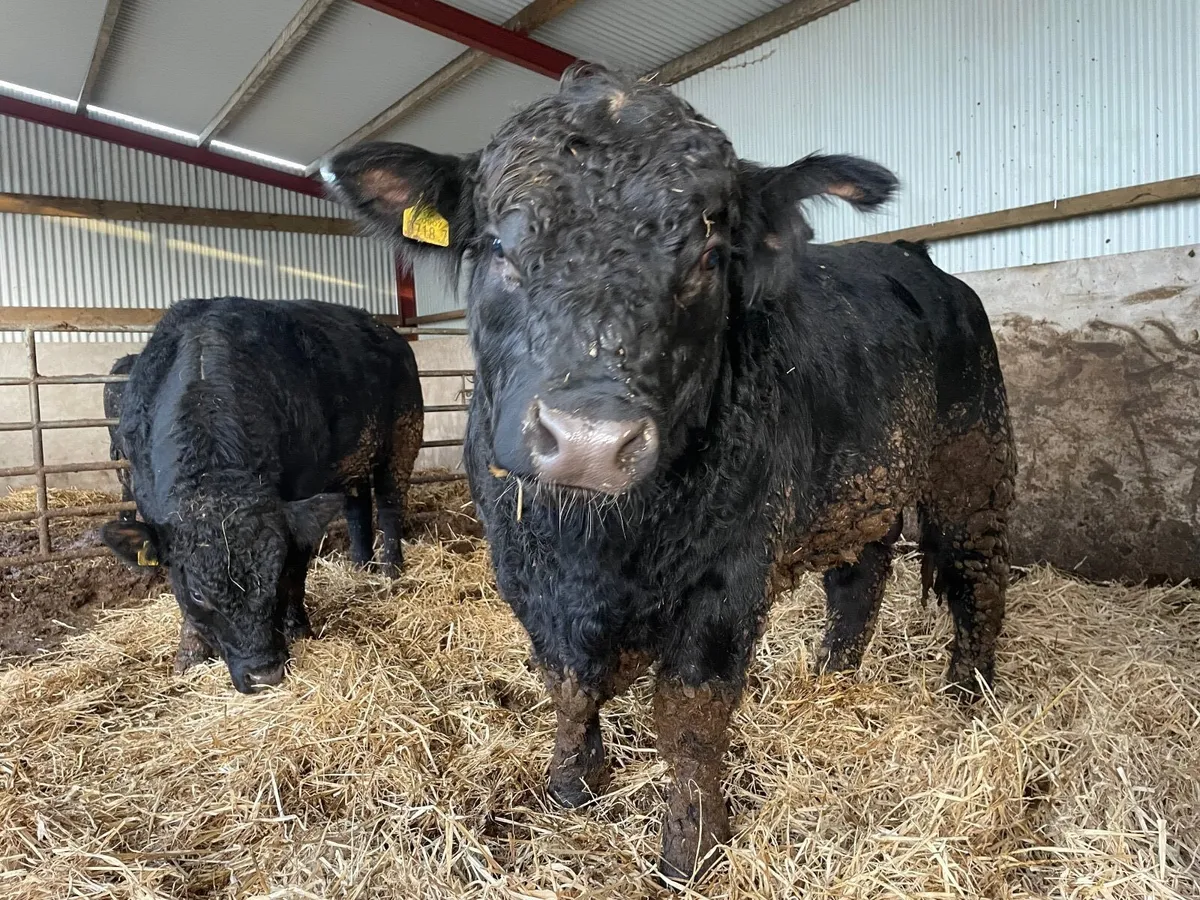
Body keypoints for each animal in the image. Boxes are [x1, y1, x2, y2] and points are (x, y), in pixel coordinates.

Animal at [99, 296, 424, 694]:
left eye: (275, 574)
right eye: (198, 593)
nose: (264, 674)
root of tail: (388, 332)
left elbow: (298, 571)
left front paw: (298, 627)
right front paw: (189, 655)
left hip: (403, 436)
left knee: (391, 504)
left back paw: (390, 571)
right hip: (355, 460)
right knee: (358, 507)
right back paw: (361, 566)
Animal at [323, 65, 1016, 883]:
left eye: (708, 257)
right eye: (497, 246)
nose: (590, 440)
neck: (594, 550)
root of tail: (920, 262)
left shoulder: (728, 580)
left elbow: (689, 717)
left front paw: (691, 846)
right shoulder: (521, 567)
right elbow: (565, 684)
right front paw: (571, 784)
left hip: (973, 459)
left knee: (976, 575)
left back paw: (968, 696)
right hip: (863, 486)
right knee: (858, 579)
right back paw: (833, 676)